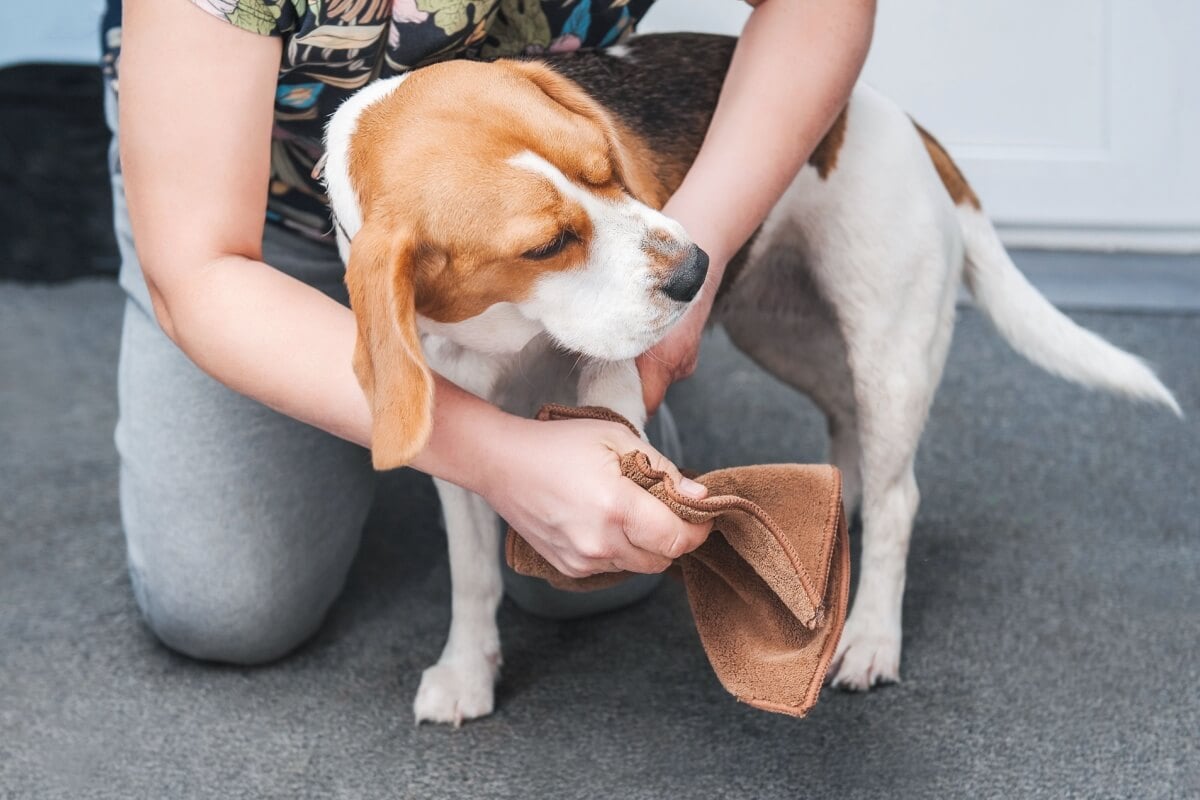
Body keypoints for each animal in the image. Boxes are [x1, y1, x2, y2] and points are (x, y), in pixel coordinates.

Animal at [319, 32, 1180, 724]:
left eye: (608, 169)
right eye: (545, 246)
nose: (697, 269)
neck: (510, 330)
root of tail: (897, 118)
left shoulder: (616, 361)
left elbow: (609, 394)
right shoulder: (461, 444)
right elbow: (471, 575)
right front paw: (467, 671)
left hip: (891, 349)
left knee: (900, 498)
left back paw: (871, 634)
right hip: (781, 332)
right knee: (844, 417)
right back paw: (838, 505)